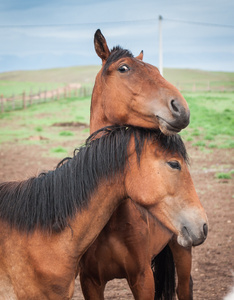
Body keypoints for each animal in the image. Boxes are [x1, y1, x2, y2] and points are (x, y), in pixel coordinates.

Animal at [80, 29, 196, 298]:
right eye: (124, 68)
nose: (181, 109)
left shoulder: (142, 279)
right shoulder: (89, 281)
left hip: (183, 248)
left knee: (184, 287)